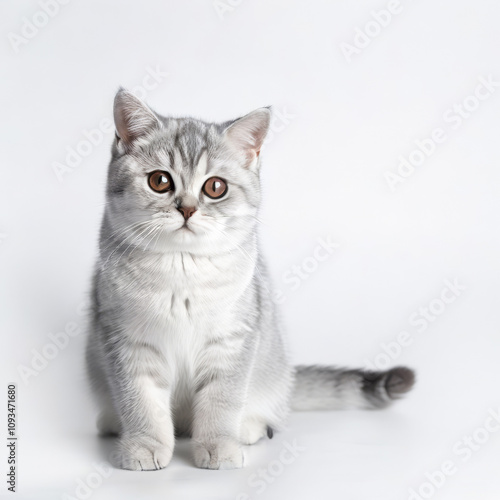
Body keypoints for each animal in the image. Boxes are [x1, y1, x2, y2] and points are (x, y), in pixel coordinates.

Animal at [86, 91, 414, 472]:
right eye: (160, 181)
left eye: (215, 187)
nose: (187, 209)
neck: (181, 268)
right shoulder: (126, 342)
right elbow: (140, 403)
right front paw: (144, 445)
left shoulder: (232, 342)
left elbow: (221, 401)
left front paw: (218, 446)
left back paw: (249, 428)